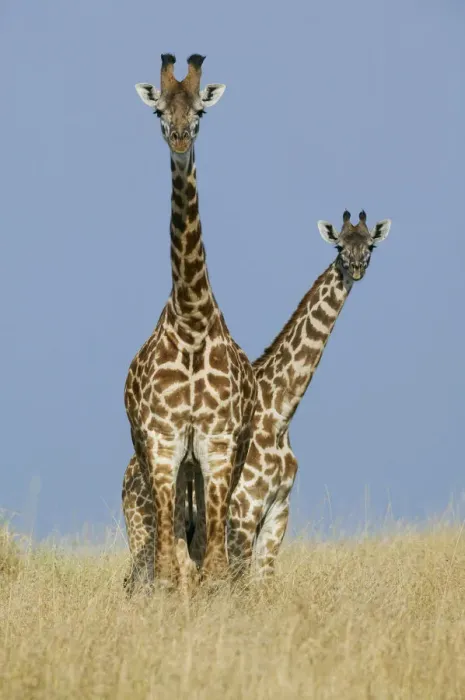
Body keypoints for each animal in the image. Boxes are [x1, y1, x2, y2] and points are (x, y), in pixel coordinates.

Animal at [122, 210, 391, 585]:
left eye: (370, 245)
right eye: (339, 245)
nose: (355, 266)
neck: (280, 414)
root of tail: (126, 479)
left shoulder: (278, 509)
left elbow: (262, 584)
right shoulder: (243, 510)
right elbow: (238, 583)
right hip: (143, 525)